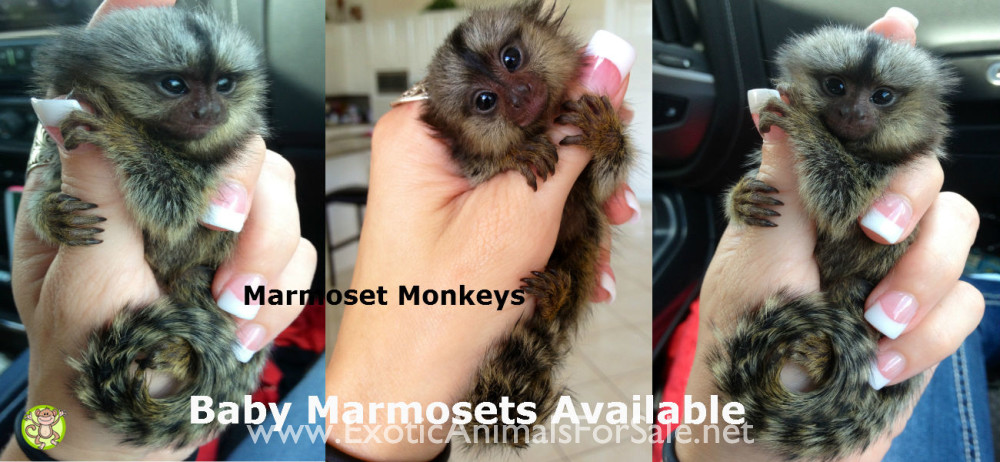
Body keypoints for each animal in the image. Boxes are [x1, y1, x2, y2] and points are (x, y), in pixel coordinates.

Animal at [27, 7, 268, 448]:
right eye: (174, 85)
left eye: (223, 85)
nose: (210, 111)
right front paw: (51, 214)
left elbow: (175, 208)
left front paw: (120, 133)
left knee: (191, 278)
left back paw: (182, 355)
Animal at [419, 0, 633, 449]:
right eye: (485, 101)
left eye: (511, 59)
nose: (519, 95)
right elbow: (482, 167)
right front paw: (511, 156)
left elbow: (604, 187)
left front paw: (605, 135)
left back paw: (556, 300)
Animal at [711, 25, 956, 460]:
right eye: (836, 86)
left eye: (881, 96)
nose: (853, 113)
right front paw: (739, 199)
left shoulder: (885, 174)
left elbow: (841, 202)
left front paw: (804, 125)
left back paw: (822, 353)